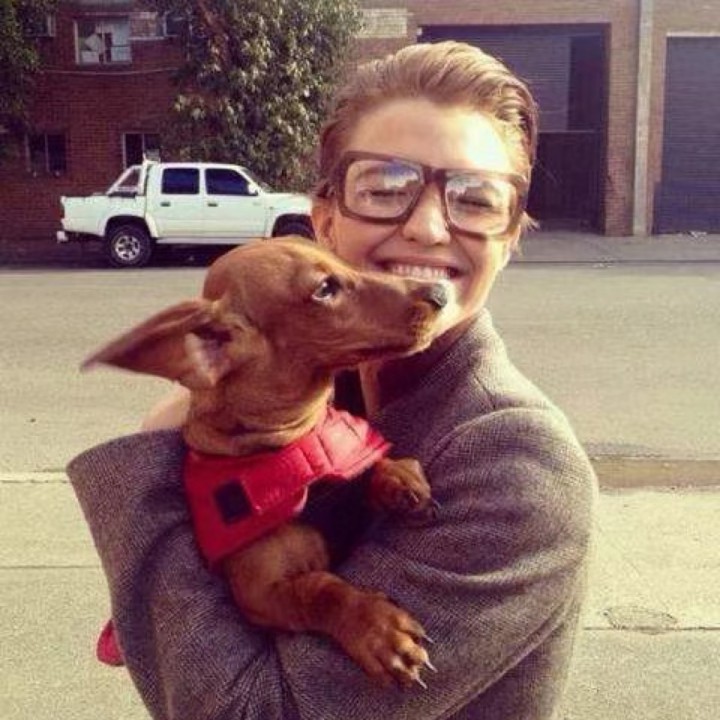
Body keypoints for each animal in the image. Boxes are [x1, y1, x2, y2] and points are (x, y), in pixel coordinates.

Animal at [83, 236, 448, 688]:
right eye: (324, 289)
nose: (441, 293)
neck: (292, 450)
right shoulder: (260, 595)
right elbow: (319, 589)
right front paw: (376, 630)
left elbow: (364, 467)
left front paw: (397, 476)